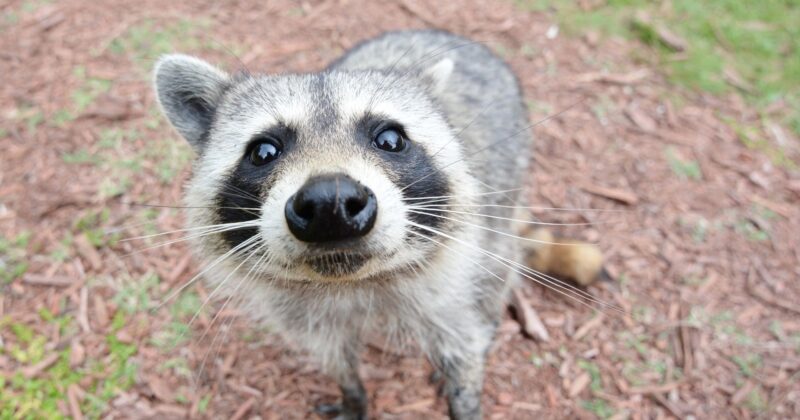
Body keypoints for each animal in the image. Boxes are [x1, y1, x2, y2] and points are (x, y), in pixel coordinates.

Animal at [153, 29, 531, 419]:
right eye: (263, 152)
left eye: (390, 140)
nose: (329, 205)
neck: (351, 283)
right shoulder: (302, 315)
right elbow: (333, 355)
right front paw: (352, 393)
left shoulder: (452, 279)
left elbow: (463, 341)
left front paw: (464, 393)